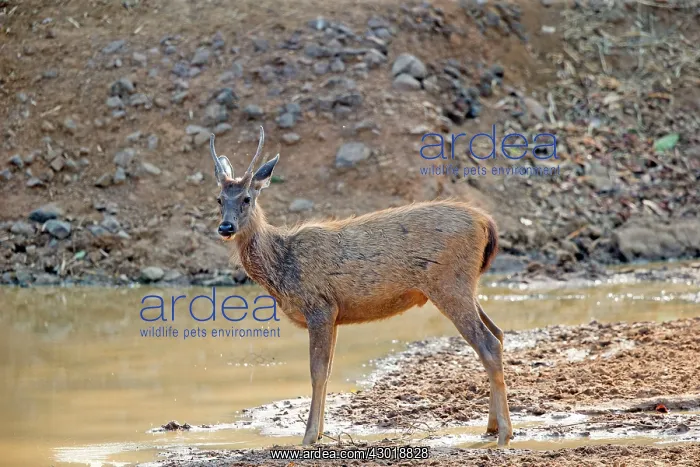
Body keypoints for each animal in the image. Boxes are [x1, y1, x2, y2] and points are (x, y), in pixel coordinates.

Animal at [207, 126, 513, 447]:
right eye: (219, 199)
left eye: (246, 198)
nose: (225, 227)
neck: (282, 267)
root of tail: (486, 222)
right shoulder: (334, 314)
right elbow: (328, 370)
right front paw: (319, 431)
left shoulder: (319, 306)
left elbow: (317, 371)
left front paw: (309, 436)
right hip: (465, 285)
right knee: (498, 332)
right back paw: (491, 427)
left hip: (449, 283)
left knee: (488, 343)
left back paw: (505, 433)